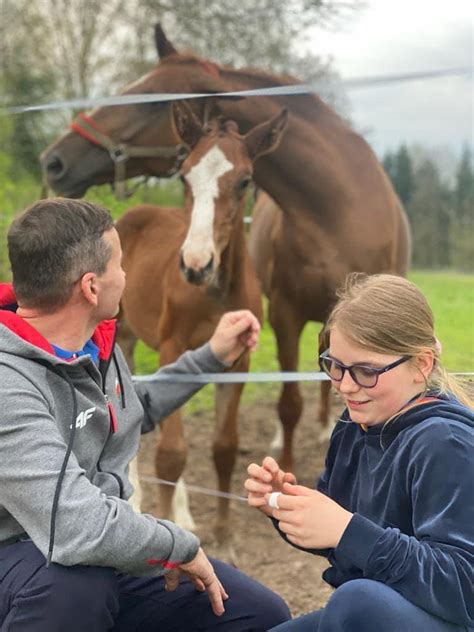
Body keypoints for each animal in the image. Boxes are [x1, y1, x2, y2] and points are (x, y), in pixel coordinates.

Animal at [117, 105, 288, 552]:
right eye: (183, 176)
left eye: (245, 180)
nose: (196, 264)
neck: (214, 293)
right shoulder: (171, 345)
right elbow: (171, 454)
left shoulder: (237, 361)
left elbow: (224, 448)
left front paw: (224, 538)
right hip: (120, 335)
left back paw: (184, 514)